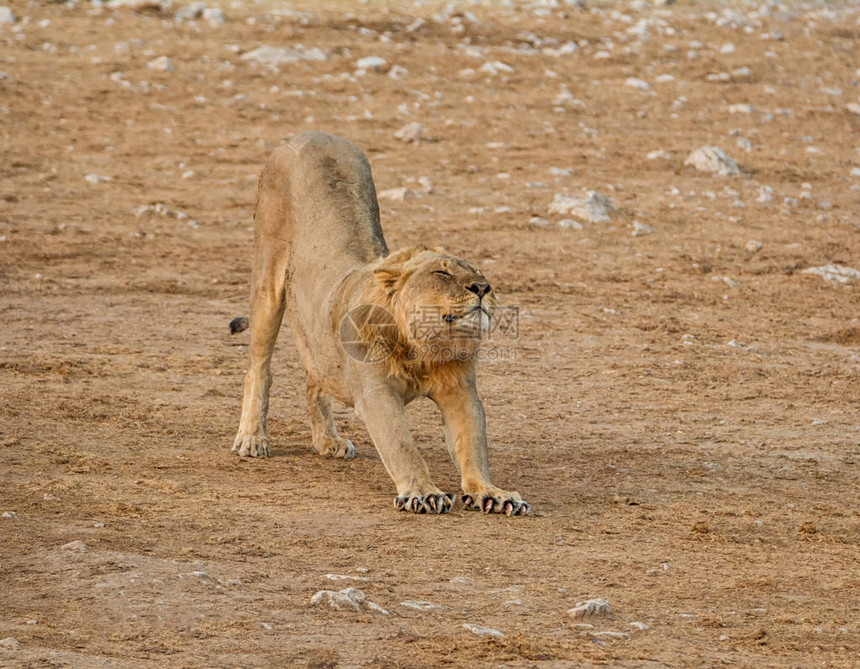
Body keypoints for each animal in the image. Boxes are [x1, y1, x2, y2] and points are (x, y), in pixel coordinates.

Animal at [228, 132, 528, 516]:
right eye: (442, 272)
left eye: (480, 273)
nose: (482, 288)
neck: (424, 349)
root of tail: (312, 134)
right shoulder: (377, 393)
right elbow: (402, 446)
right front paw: (423, 493)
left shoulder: (461, 391)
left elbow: (473, 446)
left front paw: (491, 492)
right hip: (268, 281)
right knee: (259, 366)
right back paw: (252, 437)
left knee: (315, 376)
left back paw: (328, 441)